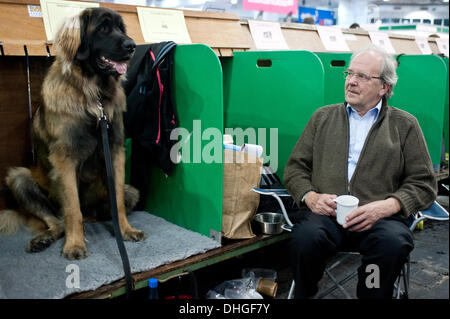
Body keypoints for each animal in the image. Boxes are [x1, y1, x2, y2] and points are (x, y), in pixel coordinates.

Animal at [0, 7, 146, 262]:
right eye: (103, 28)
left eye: (121, 28)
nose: (132, 46)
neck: (94, 96)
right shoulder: (64, 159)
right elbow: (72, 209)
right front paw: (75, 244)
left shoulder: (115, 151)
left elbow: (117, 201)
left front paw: (126, 231)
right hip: (19, 179)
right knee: (57, 221)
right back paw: (45, 238)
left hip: (131, 191)